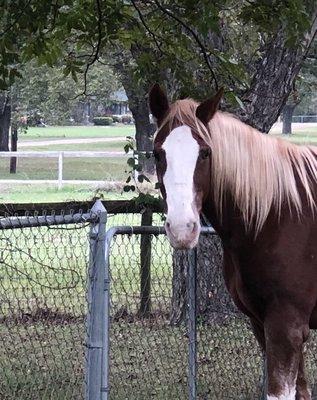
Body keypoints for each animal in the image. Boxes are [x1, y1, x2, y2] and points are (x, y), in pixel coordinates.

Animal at [149, 84, 316, 400]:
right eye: (157, 153)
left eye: (205, 153)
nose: (182, 228)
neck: (279, 212)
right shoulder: (262, 324)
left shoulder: (286, 327)